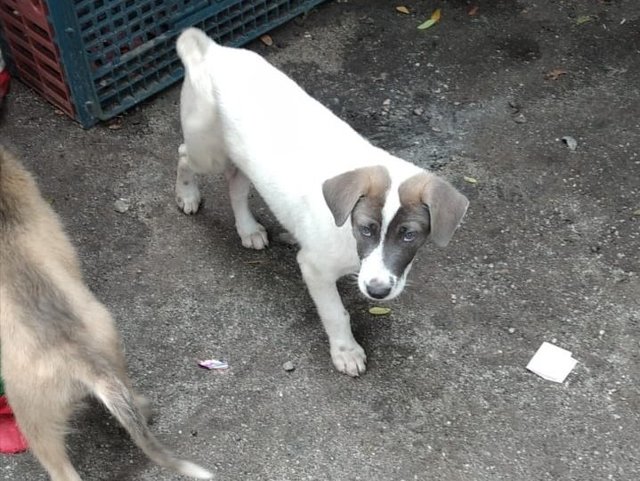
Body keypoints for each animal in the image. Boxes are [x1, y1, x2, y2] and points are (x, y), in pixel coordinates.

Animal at [0, 148, 214, 478]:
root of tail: (85, 362)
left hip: (33, 415)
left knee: (61, 470)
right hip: (111, 345)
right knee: (134, 399)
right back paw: (144, 408)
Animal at [175, 28, 470, 376]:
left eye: (410, 234)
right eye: (366, 228)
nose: (377, 292)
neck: (349, 238)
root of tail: (213, 50)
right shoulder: (314, 268)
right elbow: (335, 313)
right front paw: (346, 352)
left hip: (242, 158)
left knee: (235, 183)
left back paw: (247, 229)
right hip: (207, 150)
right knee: (183, 154)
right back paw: (187, 195)